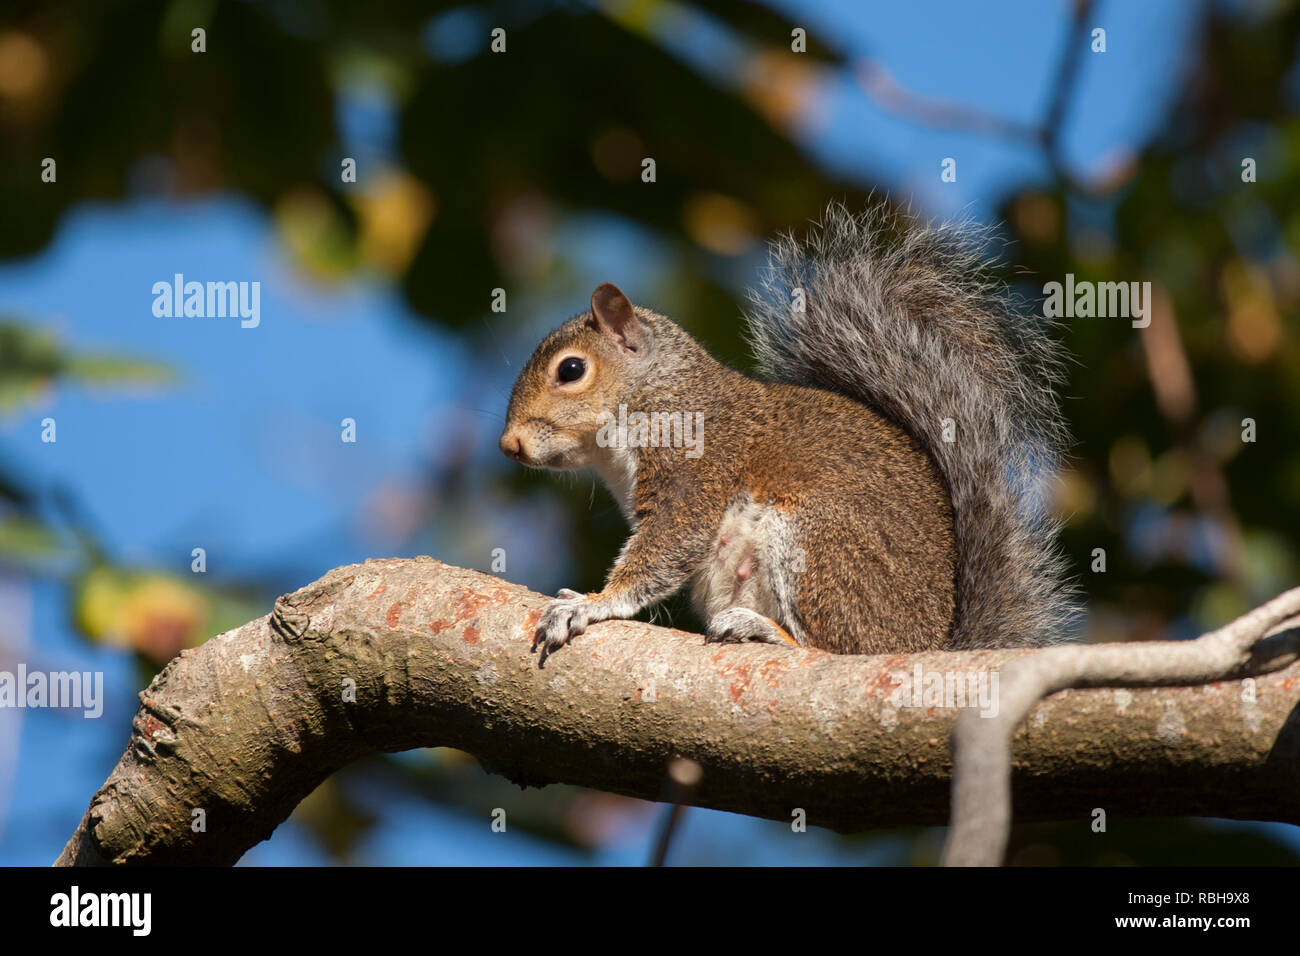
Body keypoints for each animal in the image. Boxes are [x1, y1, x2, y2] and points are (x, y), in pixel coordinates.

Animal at [496, 204, 1076, 660]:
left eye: (571, 370)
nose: (509, 445)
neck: (658, 395)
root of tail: (927, 646)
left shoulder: (695, 465)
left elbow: (669, 545)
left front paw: (590, 605)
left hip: (820, 542)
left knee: (836, 650)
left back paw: (764, 630)